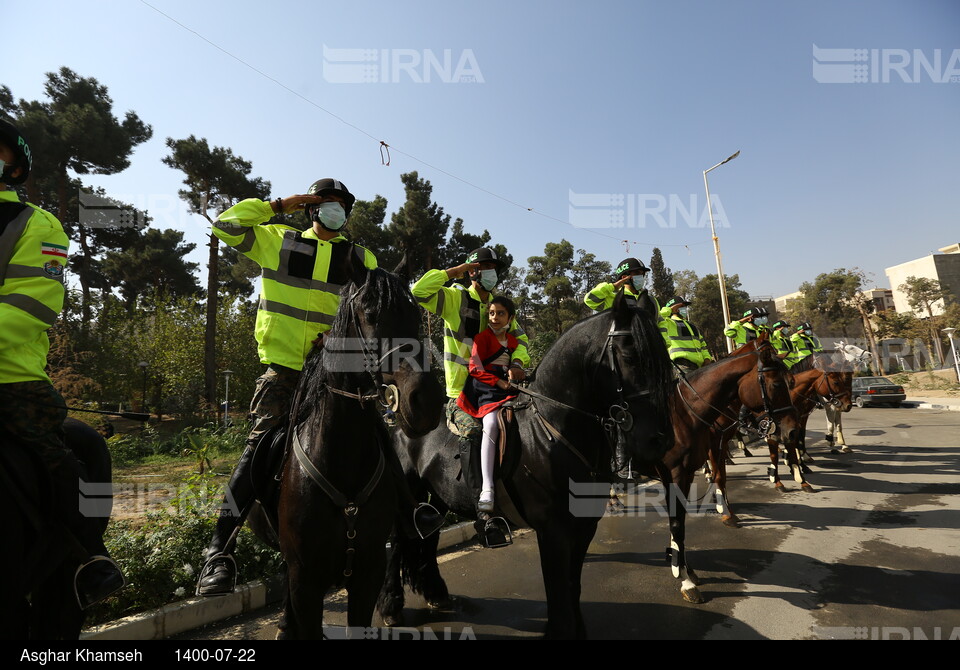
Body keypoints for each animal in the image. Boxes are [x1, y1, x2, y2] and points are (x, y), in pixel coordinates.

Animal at [272, 268, 444, 640]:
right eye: (370, 314)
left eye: (415, 315)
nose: (426, 402)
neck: (342, 461)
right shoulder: (306, 581)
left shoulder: (367, 575)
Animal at [376, 292, 676, 640]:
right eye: (631, 358)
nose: (658, 441)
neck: (551, 430)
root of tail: (401, 422)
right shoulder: (553, 529)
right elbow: (558, 587)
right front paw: (560, 631)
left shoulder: (583, 526)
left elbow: (572, 585)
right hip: (407, 494)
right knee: (399, 541)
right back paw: (390, 606)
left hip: (436, 497)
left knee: (426, 539)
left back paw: (436, 594)